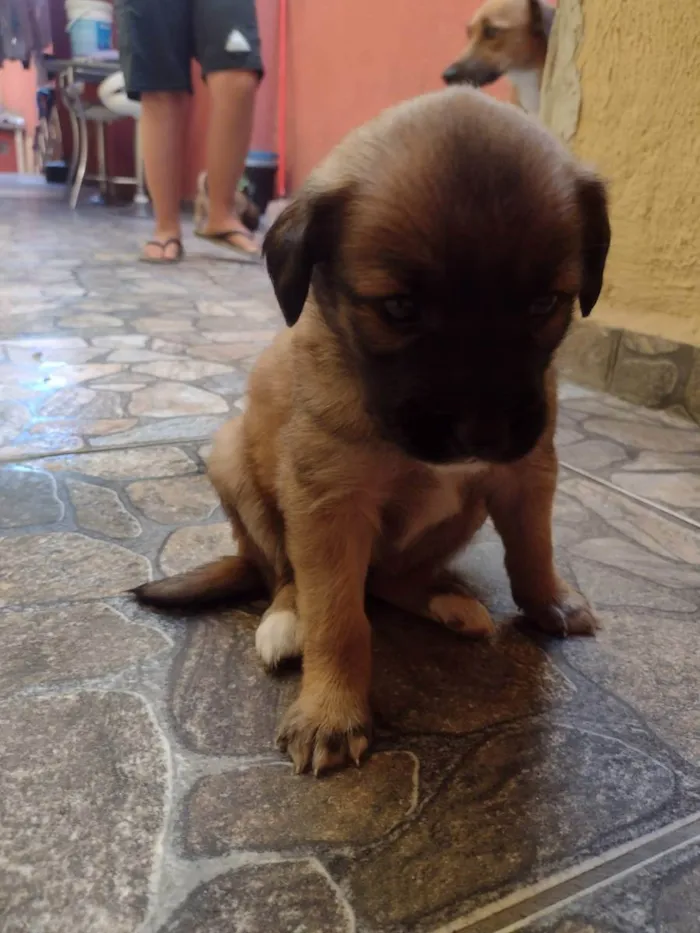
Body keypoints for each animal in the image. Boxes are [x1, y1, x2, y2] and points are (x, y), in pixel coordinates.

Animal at [134, 85, 608, 772]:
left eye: (545, 304)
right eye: (400, 309)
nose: (484, 435)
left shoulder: (526, 471)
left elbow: (532, 548)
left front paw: (551, 600)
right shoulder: (328, 506)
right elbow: (339, 618)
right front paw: (331, 712)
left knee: (386, 580)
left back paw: (448, 604)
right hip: (234, 466)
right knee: (284, 577)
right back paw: (285, 622)